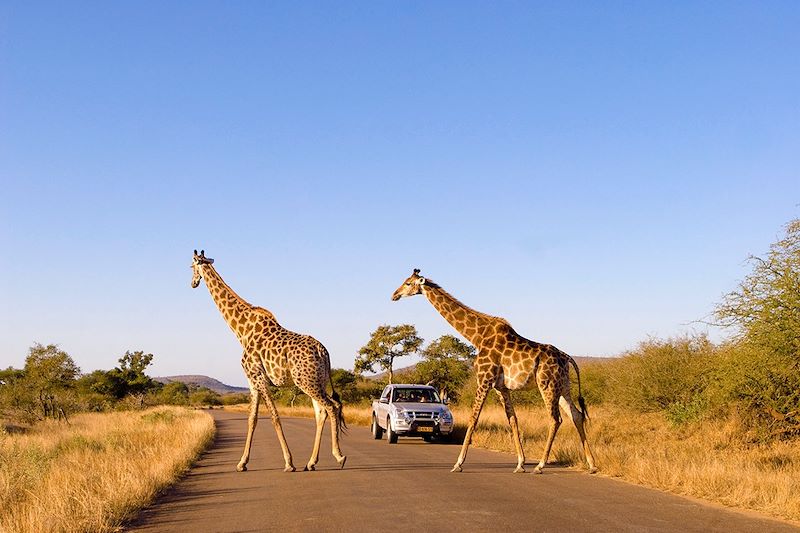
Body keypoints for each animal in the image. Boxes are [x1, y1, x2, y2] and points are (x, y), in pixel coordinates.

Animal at [192, 249, 348, 470]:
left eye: (191, 266)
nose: (193, 283)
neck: (241, 332)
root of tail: (323, 351)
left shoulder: (258, 377)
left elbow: (274, 416)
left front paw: (289, 462)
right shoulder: (252, 381)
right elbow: (252, 419)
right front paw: (242, 463)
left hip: (306, 382)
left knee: (331, 407)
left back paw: (339, 456)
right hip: (318, 381)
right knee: (322, 412)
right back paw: (311, 462)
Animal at [390, 270, 596, 474]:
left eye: (408, 283)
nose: (394, 295)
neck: (477, 336)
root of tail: (566, 357)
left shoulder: (484, 379)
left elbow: (473, 418)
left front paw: (458, 463)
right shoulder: (500, 387)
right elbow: (513, 420)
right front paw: (520, 463)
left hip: (547, 384)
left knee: (556, 419)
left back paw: (540, 465)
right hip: (563, 386)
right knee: (576, 415)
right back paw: (592, 464)